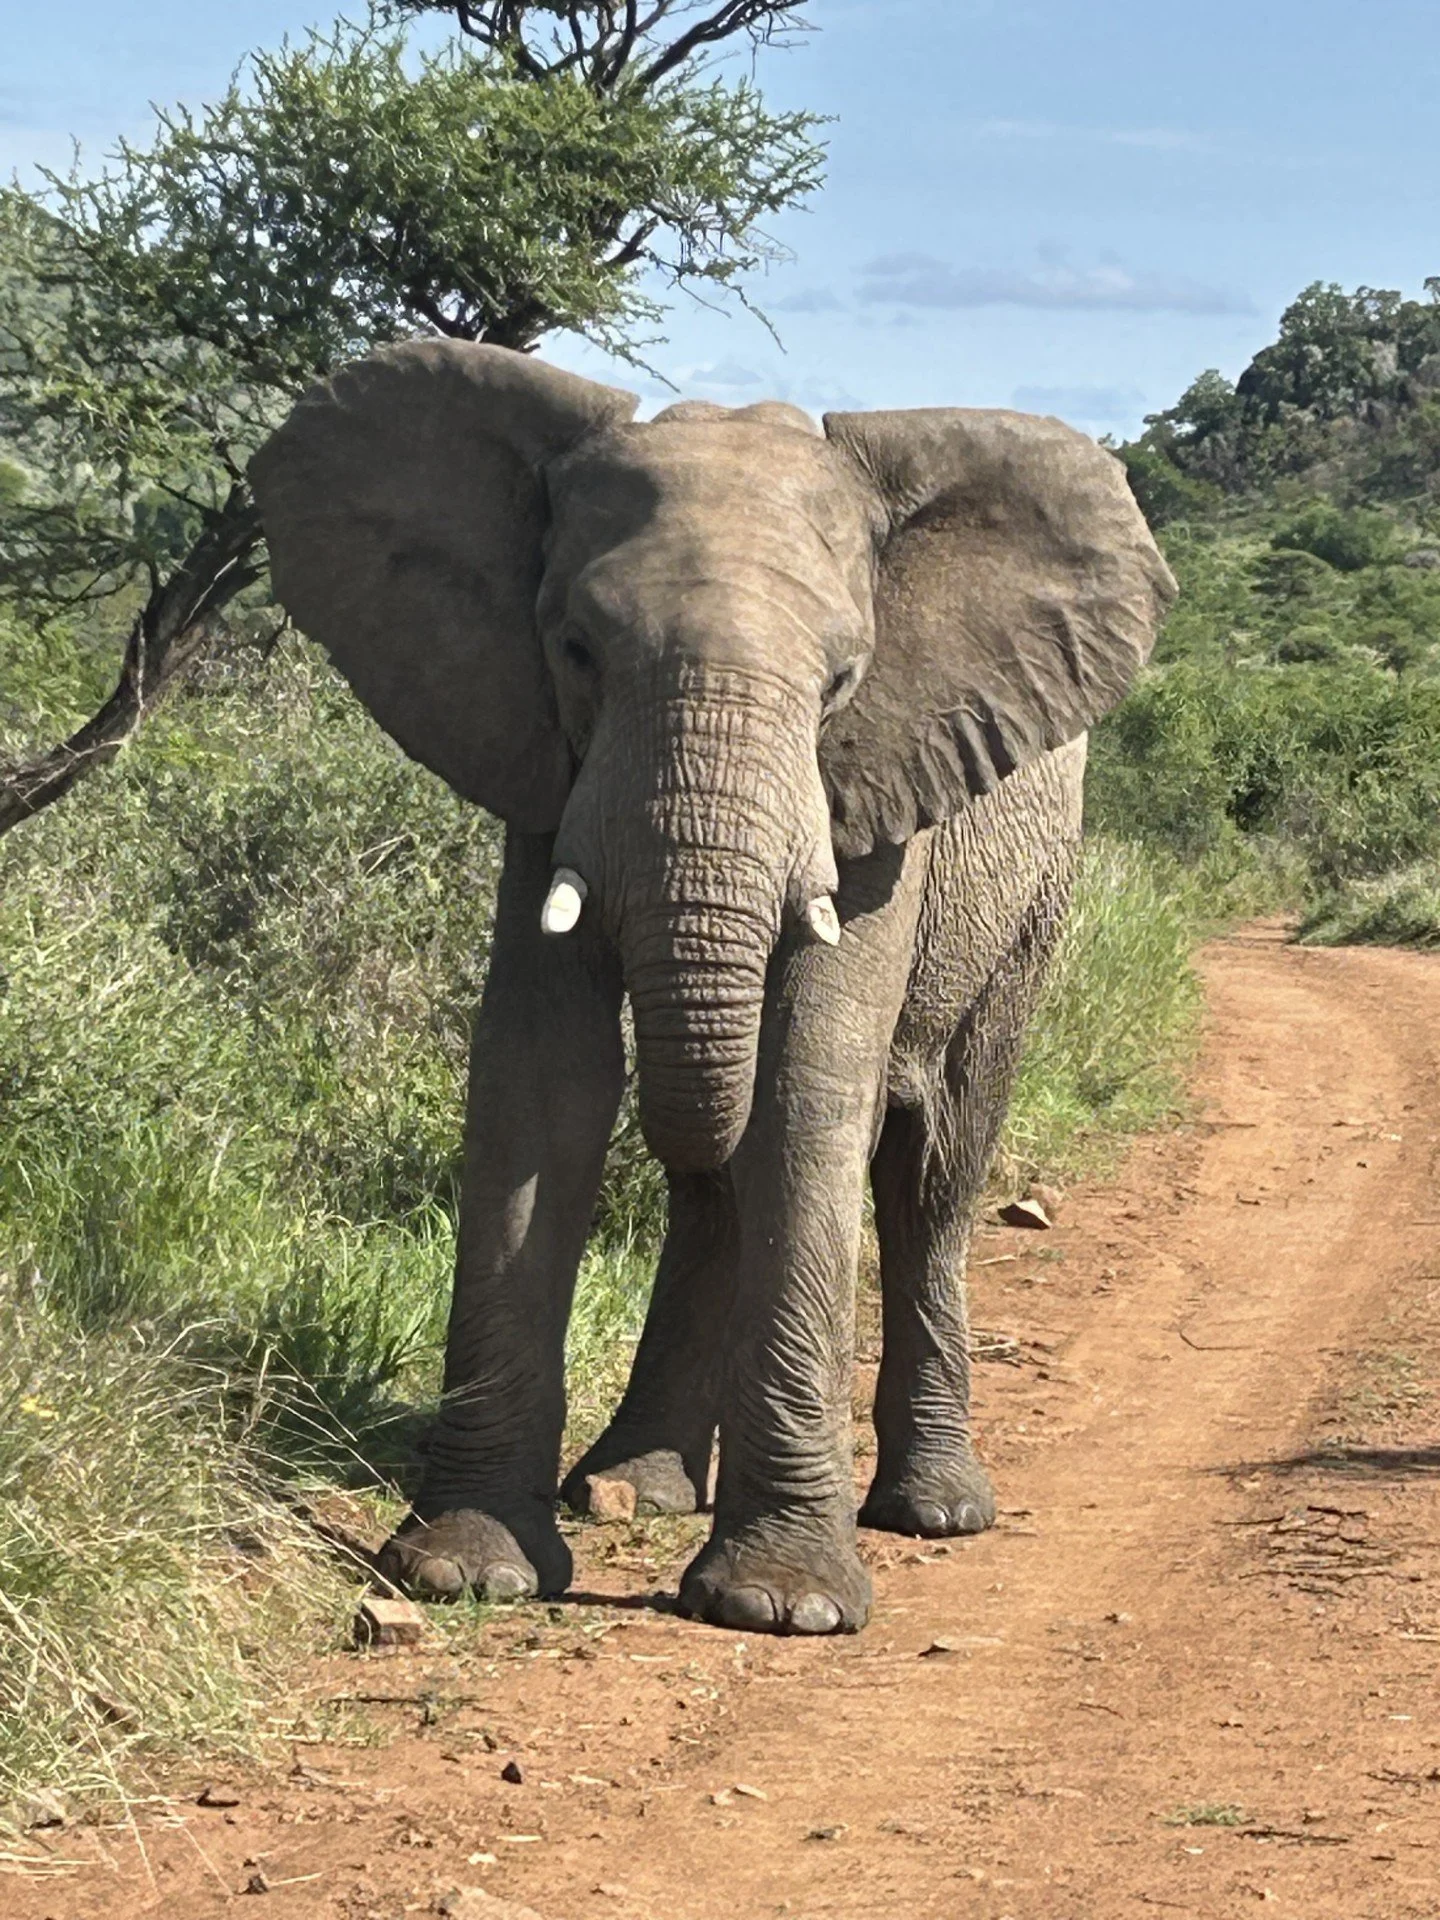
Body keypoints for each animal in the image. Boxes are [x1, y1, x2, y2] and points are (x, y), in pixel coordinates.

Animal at [249, 342, 1173, 1636]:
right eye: (577, 650)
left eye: (842, 681)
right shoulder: (541, 761)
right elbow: (545, 1076)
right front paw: (462, 1570)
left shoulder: (879, 797)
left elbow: (807, 1083)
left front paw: (785, 1608)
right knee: (717, 1177)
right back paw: (634, 1487)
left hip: (1032, 905)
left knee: (933, 1171)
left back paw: (933, 1510)